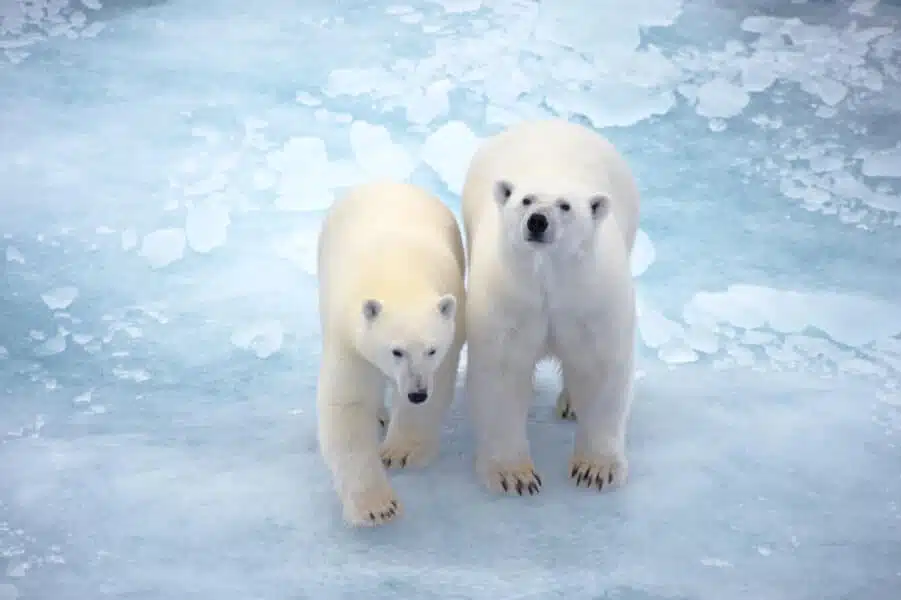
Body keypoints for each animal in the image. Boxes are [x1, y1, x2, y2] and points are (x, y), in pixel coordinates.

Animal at [314, 180, 464, 528]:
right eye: (396, 351)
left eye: (431, 349)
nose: (417, 392)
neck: (398, 275)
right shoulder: (350, 337)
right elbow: (349, 404)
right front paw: (377, 507)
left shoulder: (451, 334)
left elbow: (438, 388)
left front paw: (399, 453)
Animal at [464, 118, 640, 496]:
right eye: (526, 199)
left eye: (565, 206)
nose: (537, 221)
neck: (549, 281)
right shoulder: (510, 301)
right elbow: (502, 372)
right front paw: (514, 475)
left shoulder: (591, 300)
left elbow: (601, 368)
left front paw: (595, 470)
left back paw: (571, 403)